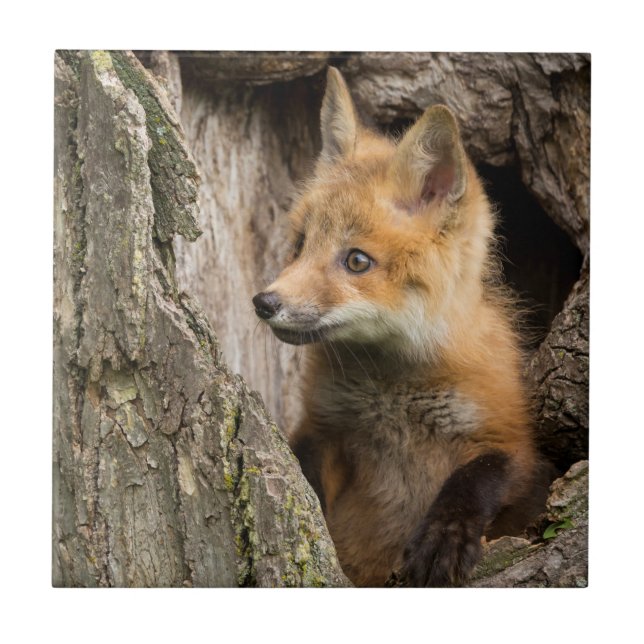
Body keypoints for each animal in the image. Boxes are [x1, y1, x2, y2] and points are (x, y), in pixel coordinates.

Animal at [252, 67, 542, 587]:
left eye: (357, 261)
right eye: (301, 244)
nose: (265, 302)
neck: (392, 397)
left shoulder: (511, 437)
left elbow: (477, 477)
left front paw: (445, 536)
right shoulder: (323, 428)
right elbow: (304, 472)